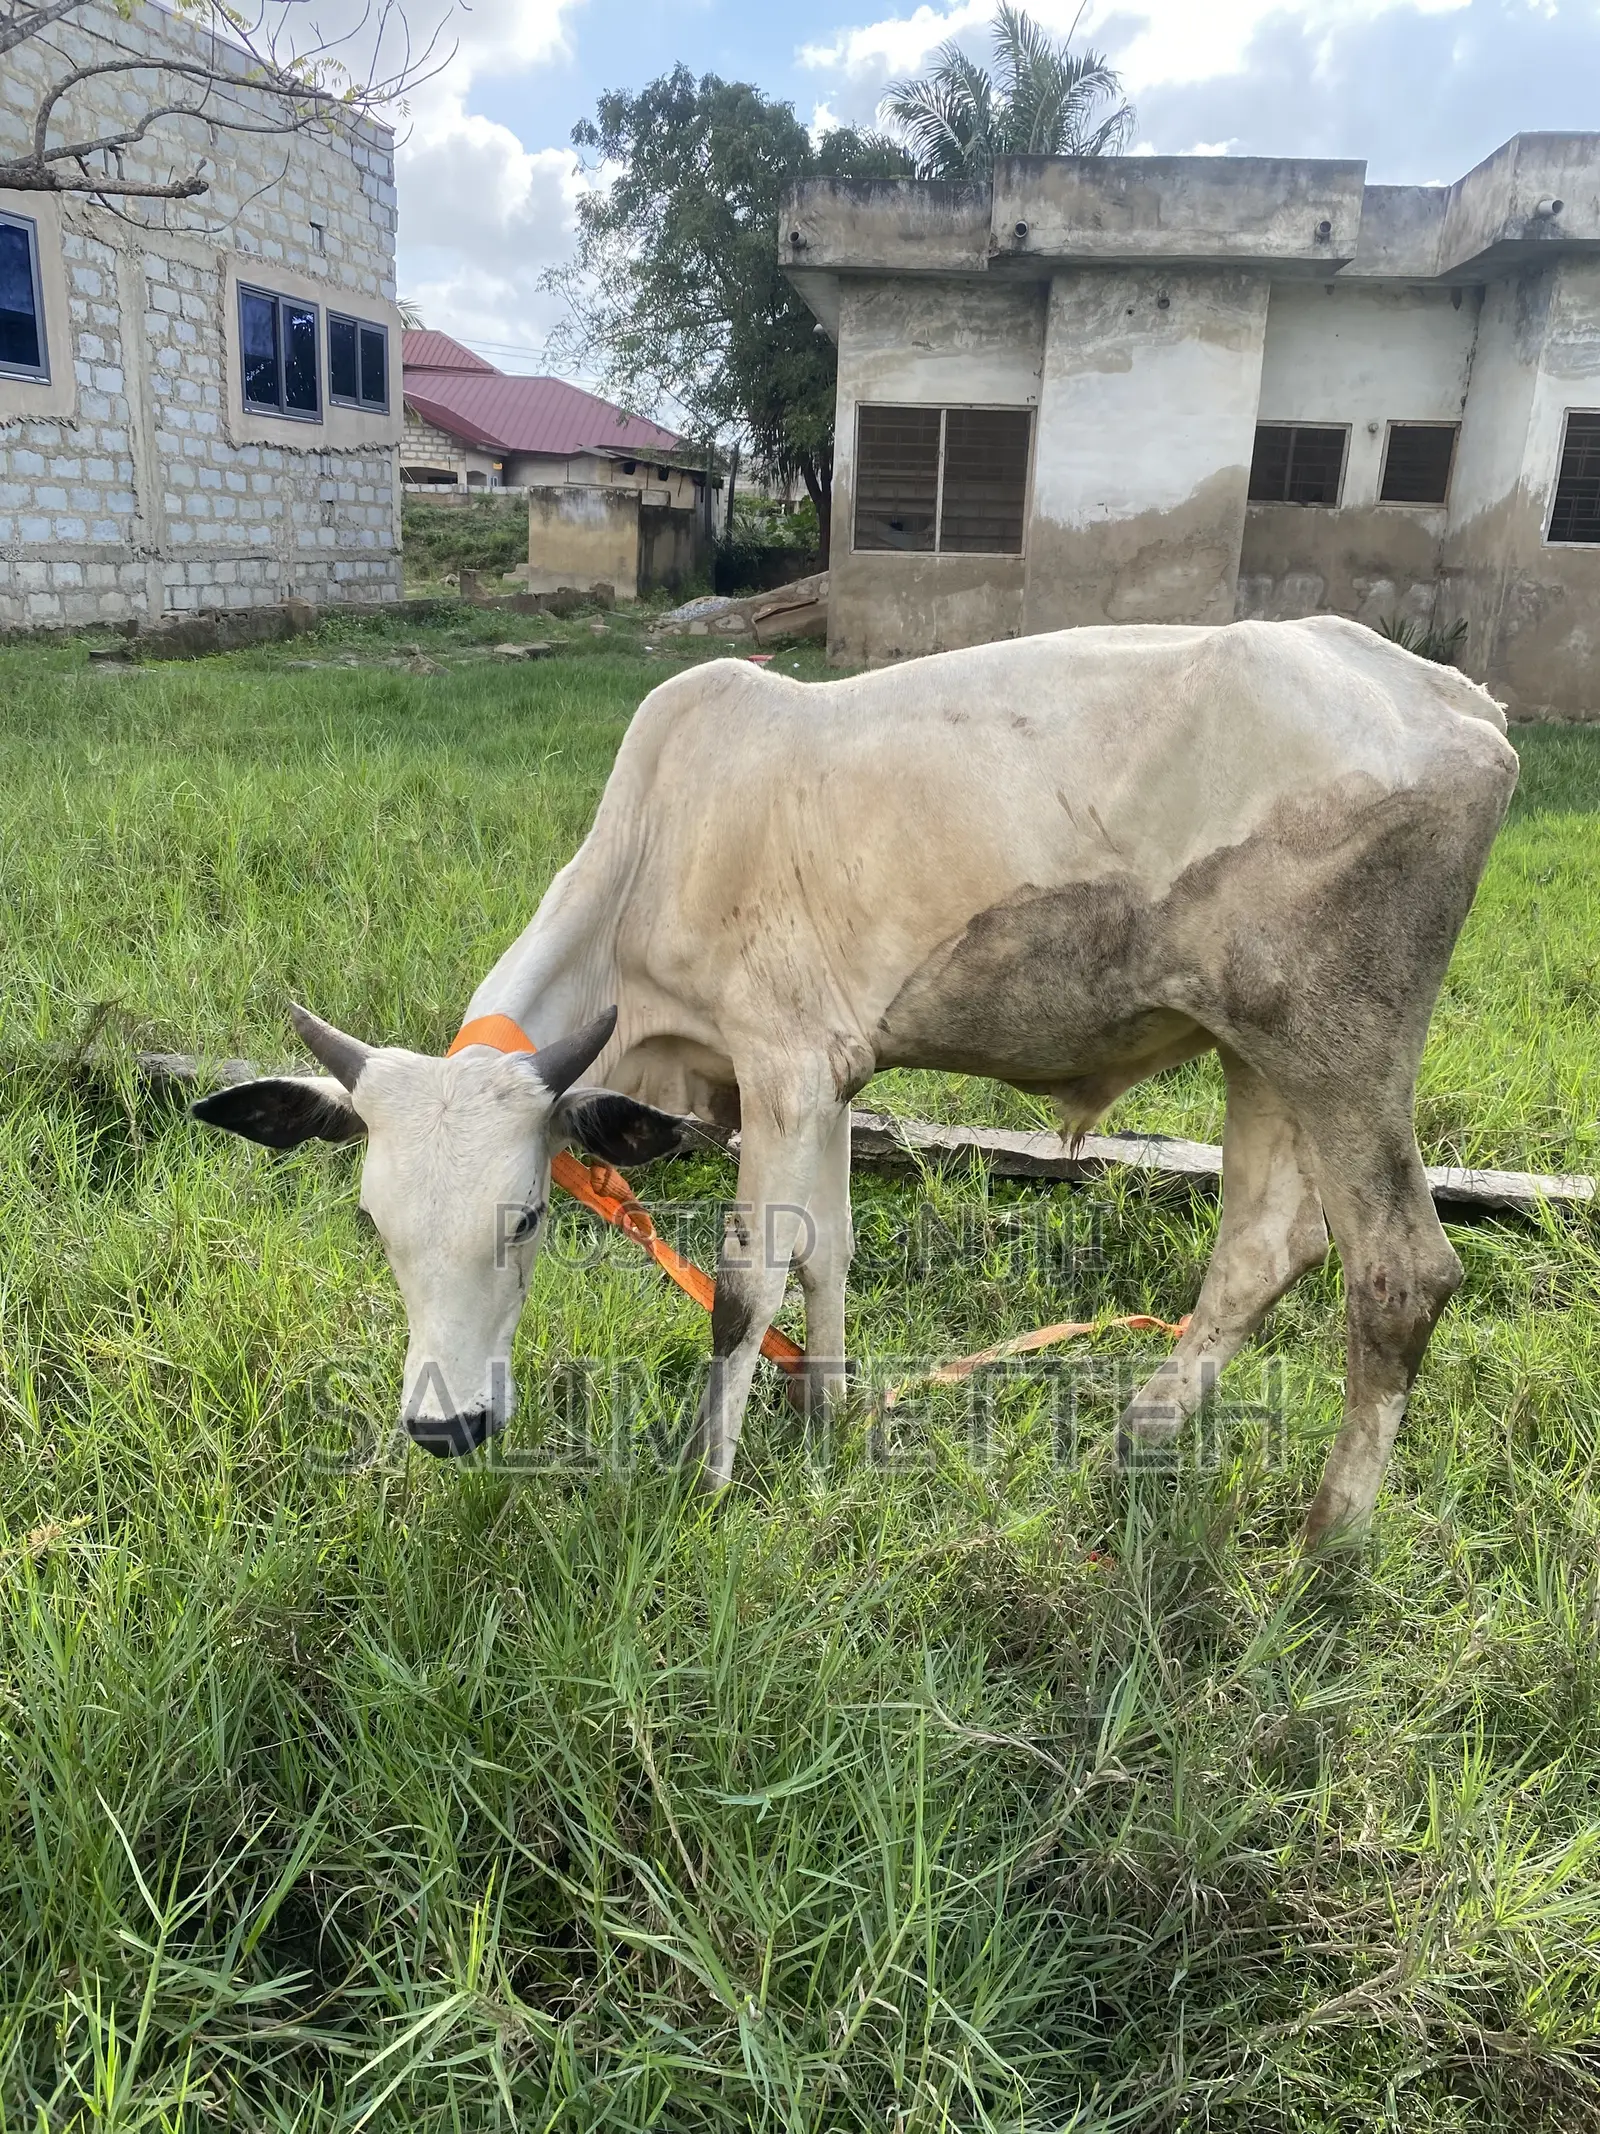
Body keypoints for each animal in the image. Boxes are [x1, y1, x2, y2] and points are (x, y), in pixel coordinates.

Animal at [194, 617, 1517, 1543]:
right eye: (374, 1224)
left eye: (524, 1219)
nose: (447, 1426)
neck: (651, 850)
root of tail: (1458, 699)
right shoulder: (825, 1081)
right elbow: (823, 1247)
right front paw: (826, 1416)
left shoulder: (779, 1070)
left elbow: (743, 1286)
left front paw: (708, 1480)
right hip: (1257, 1051)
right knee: (1263, 1245)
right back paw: (1138, 1434)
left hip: (1338, 1047)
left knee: (1400, 1273)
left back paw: (1324, 1540)